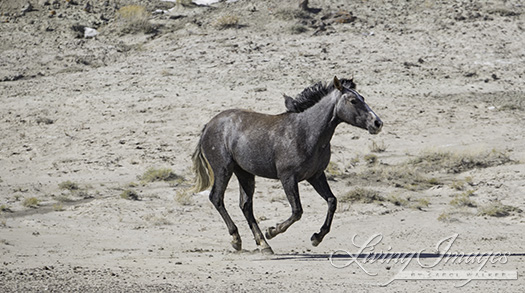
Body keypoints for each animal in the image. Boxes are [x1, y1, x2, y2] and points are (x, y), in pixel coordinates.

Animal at [191, 76, 380, 252]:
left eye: (362, 97)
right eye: (353, 100)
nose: (377, 123)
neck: (306, 132)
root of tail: (208, 125)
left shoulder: (316, 176)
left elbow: (332, 201)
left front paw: (317, 237)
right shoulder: (288, 177)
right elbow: (297, 211)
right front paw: (272, 231)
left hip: (244, 173)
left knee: (245, 205)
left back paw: (263, 244)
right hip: (223, 169)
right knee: (217, 198)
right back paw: (237, 239)